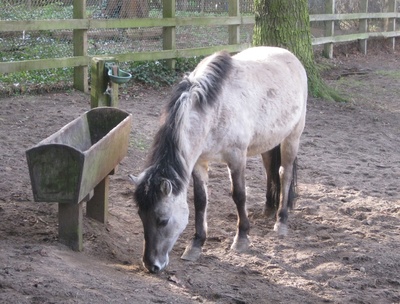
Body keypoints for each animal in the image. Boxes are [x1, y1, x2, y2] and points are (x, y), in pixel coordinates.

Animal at [130, 45, 308, 274]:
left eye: (163, 220)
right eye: (141, 216)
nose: (151, 265)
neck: (213, 109)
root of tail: (291, 56)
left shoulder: (236, 157)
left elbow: (239, 195)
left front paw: (242, 238)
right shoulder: (199, 162)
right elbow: (200, 200)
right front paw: (196, 244)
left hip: (292, 136)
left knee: (284, 174)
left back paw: (281, 220)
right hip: (268, 141)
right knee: (270, 168)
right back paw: (269, 209)